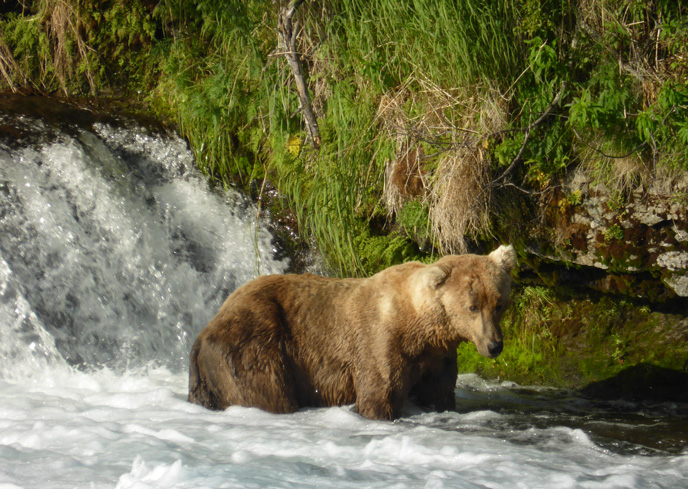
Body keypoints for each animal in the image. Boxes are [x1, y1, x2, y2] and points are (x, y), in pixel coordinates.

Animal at [188, 244, 516, 420]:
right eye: (472, 306)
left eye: (498, 303)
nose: (494, 345)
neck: (420, 325)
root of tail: (203, 331)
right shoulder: (380, 342)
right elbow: (379, 393)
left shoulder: (438, 355)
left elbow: (439, 393)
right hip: (253, 346)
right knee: (266, 391)